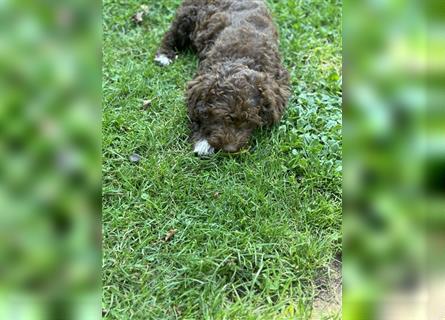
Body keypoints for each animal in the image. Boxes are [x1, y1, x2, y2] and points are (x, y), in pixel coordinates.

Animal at [154, 0, 290, 156]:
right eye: (224, 118)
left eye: (249, 120)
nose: (230, 149)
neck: (241, 59)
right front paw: (203, 141)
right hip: (187, 15)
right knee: (172, 34)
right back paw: (164, 55)